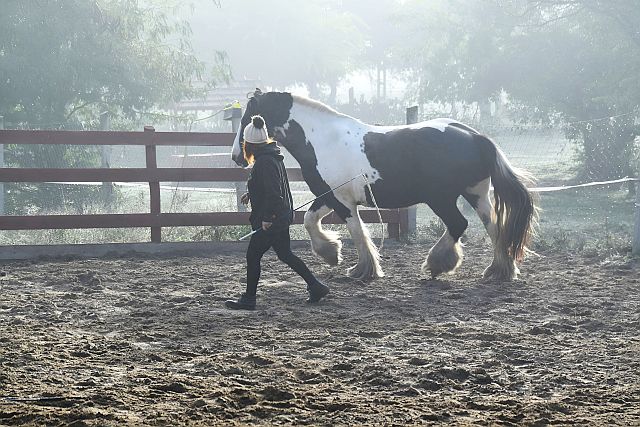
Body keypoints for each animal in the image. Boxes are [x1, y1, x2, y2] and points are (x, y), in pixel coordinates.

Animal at [230, 89, 536, 282]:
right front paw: (331, 253)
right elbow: (308, 220)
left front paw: (363, 270)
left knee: (458, 224)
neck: (322, 138)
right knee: (494, 227)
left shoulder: (343, 202)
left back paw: (437, 264)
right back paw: (500, 270)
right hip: (477, 195)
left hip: (441, 198)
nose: (236, 157)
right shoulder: (329, 196)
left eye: (247, 120)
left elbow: (357, 232)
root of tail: (474, 136)